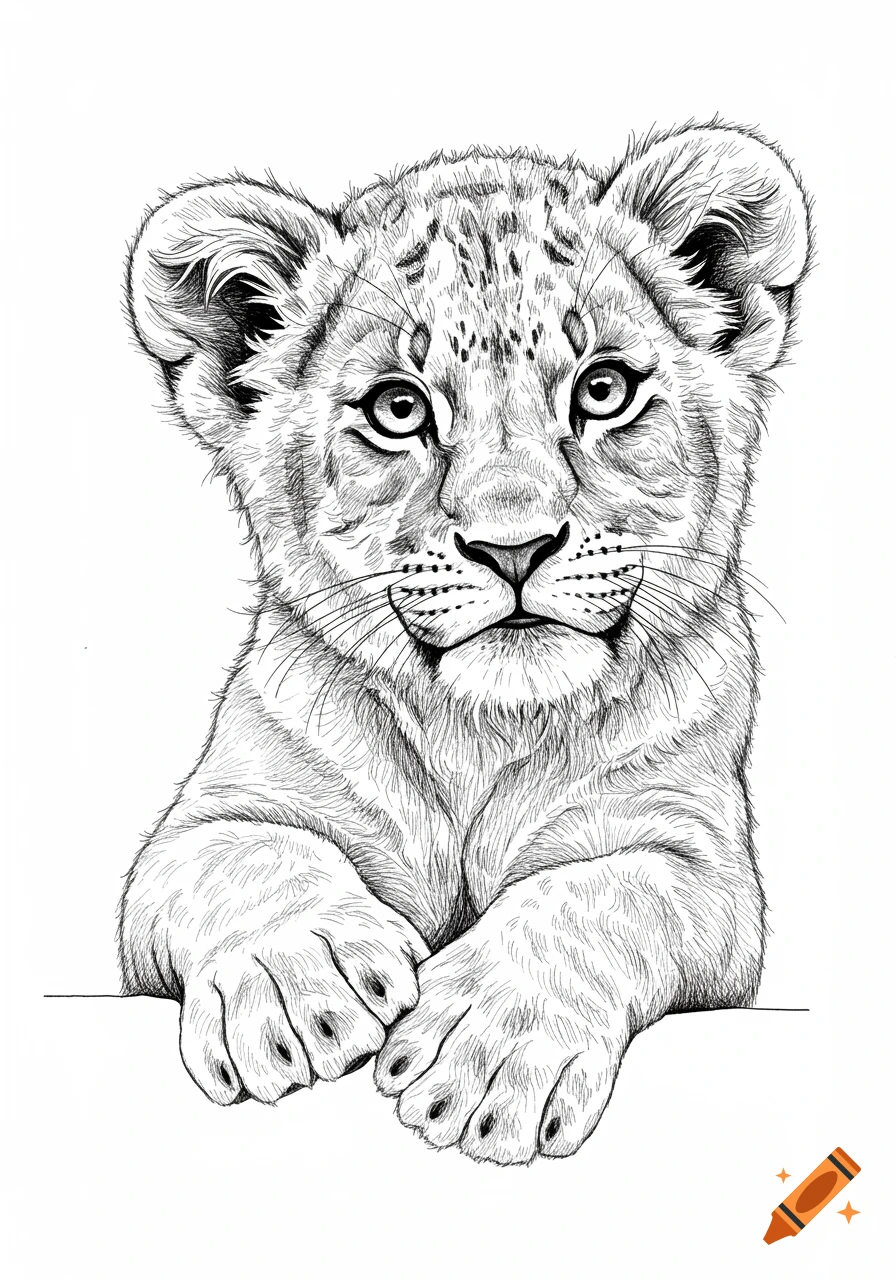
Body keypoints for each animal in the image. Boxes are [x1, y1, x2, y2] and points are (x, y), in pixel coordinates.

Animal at [120, 124, 810, 1165]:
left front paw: (487, 1050)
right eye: (399, 411)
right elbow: (247, 856)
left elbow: (599, 891)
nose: (512, 545)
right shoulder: (208, 819)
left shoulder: (697, 859)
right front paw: (299, 982)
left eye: (603, 390)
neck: (481, 731)